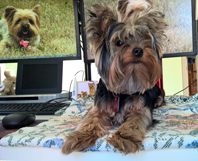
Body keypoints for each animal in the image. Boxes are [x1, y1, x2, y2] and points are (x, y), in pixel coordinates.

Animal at [61, 3, 166, 155]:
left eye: (144, 40)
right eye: (119, 42)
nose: (138, 50)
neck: (124, 87)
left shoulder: (141, 110)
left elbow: (133, 122)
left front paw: (125, 138)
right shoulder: (98, 109)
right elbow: (89, 121)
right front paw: (78, 137)